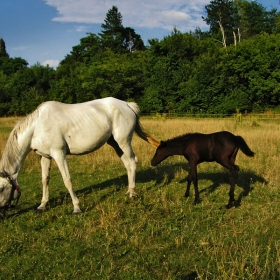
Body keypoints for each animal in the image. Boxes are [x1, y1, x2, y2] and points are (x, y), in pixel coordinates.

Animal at [0, 97, 160, 214]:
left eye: (1, 188)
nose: (3, 213)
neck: (37, 127)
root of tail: (126, 104)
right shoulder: (45, 156)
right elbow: (45, 180)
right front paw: (42, 205)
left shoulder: (59, 154)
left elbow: (67, 180)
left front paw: (76, 208)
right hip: (115, 144)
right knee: (128, 164)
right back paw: (129, 190)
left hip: (123, 142)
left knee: (132, 162)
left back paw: (132, 194)